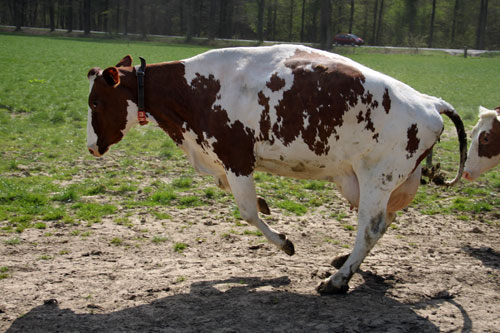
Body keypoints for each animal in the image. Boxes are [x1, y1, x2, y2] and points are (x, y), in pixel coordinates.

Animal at [85, 44, 464, 294]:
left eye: (97, 102)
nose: (91, 146)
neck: (197, 87)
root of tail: (430, 102)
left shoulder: (236, 157)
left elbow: (247, 212)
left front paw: (284, 243)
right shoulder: (221, 159)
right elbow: (233, 192)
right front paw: (266, 205)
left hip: (377, 178)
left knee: (370, 228)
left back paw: (337, 281)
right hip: (364, 182)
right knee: (385, 221)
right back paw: (344, 262)